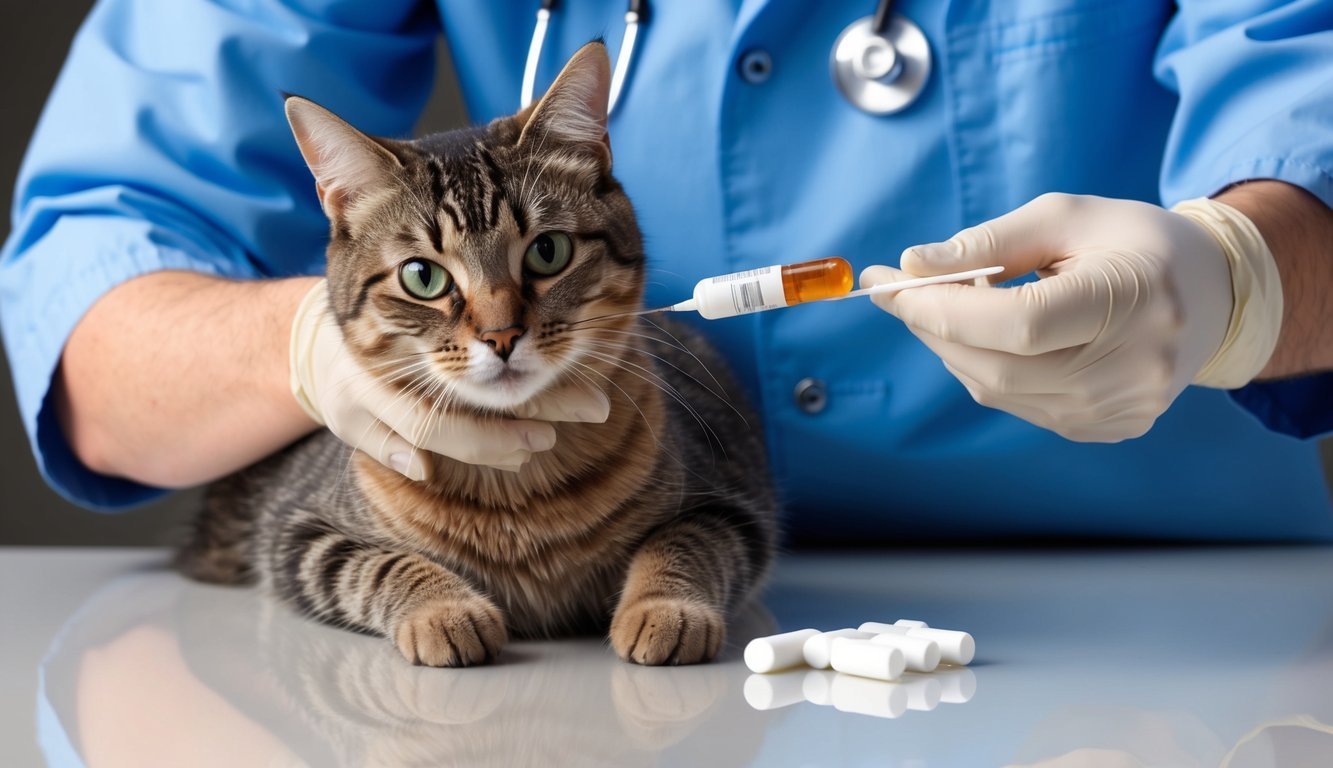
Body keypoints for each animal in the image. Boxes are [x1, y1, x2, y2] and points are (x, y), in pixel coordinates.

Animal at [178, 43, 778, 666]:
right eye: (422, 277)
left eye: (548, 251)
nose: (502, 335)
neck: (518, 489)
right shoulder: (299, 533)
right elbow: (379, 564)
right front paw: (443, 609)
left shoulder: (733, 505)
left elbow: (683, 542)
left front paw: (664, 608)